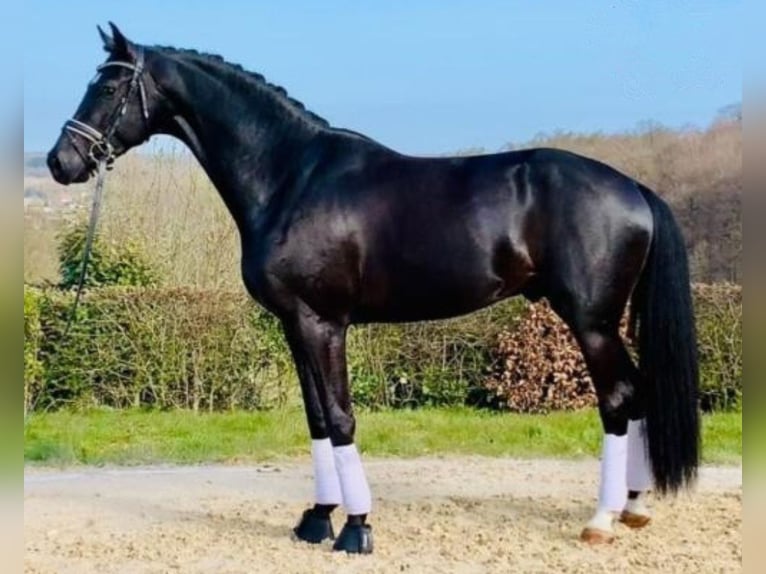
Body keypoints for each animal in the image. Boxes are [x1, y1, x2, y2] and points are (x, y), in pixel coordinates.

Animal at [47, 23, 700, 554]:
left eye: (109, 87)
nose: (61, 162)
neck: (290, 177)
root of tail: (634, 188)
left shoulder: (323, 323)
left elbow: (341, 418)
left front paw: (356, 529)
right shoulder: (294, 324)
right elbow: (315, 419)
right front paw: (316, 519)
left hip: (591, 321)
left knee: (618, 399)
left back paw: (602, 519)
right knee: (637, 394)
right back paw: (634, 508)